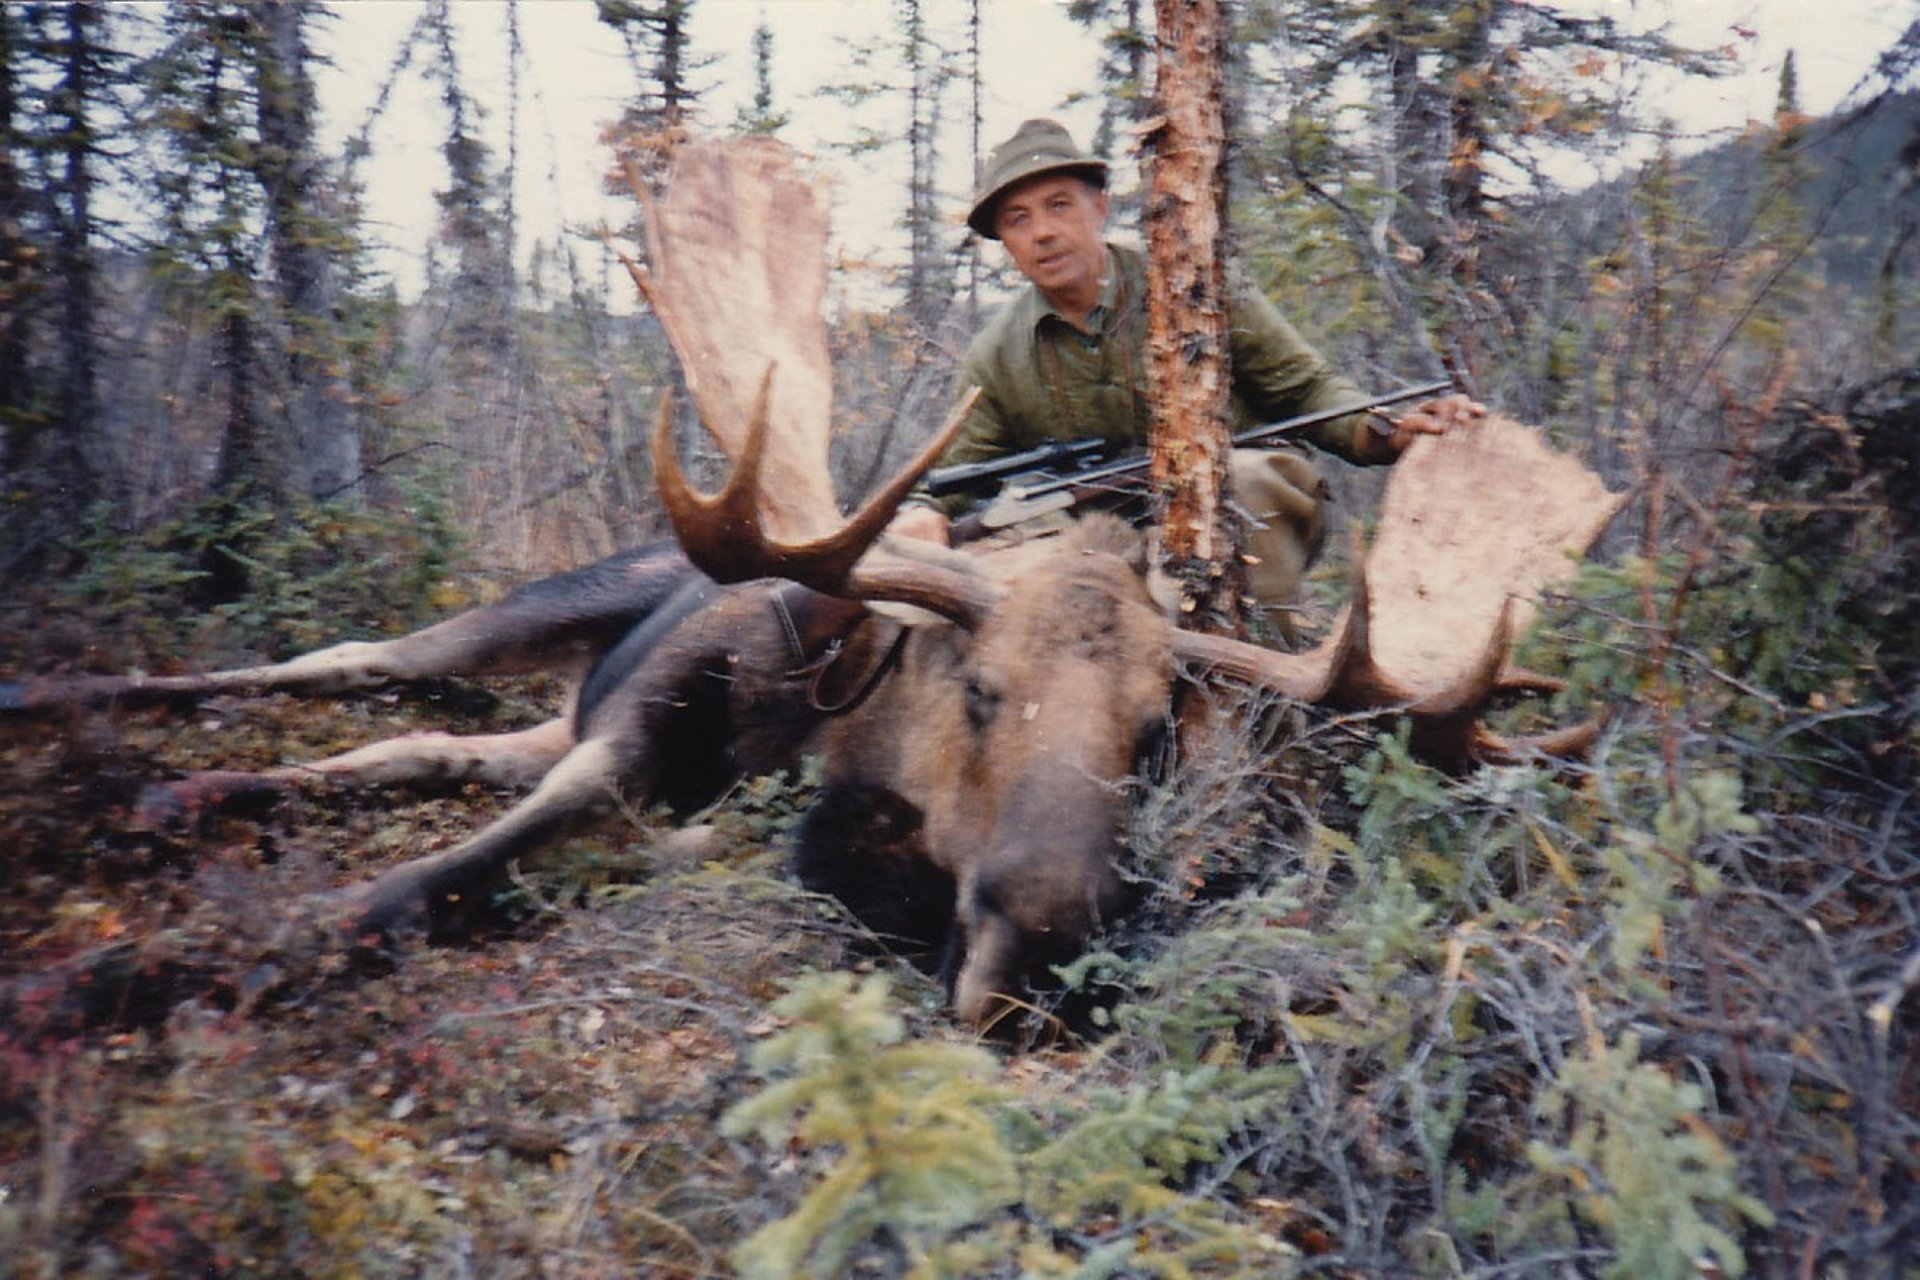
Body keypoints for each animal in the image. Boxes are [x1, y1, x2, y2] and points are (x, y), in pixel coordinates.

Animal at [1, 138, 1624, 1026]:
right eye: (977, 690)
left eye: (1160, 730)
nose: (1043, 942)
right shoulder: (625, 742)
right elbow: (395, 889)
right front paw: (99, 985)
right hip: (544, 612)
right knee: (340, 667)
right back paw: (79, 720)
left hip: (522, 708)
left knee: (404, 747)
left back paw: (171, 796)